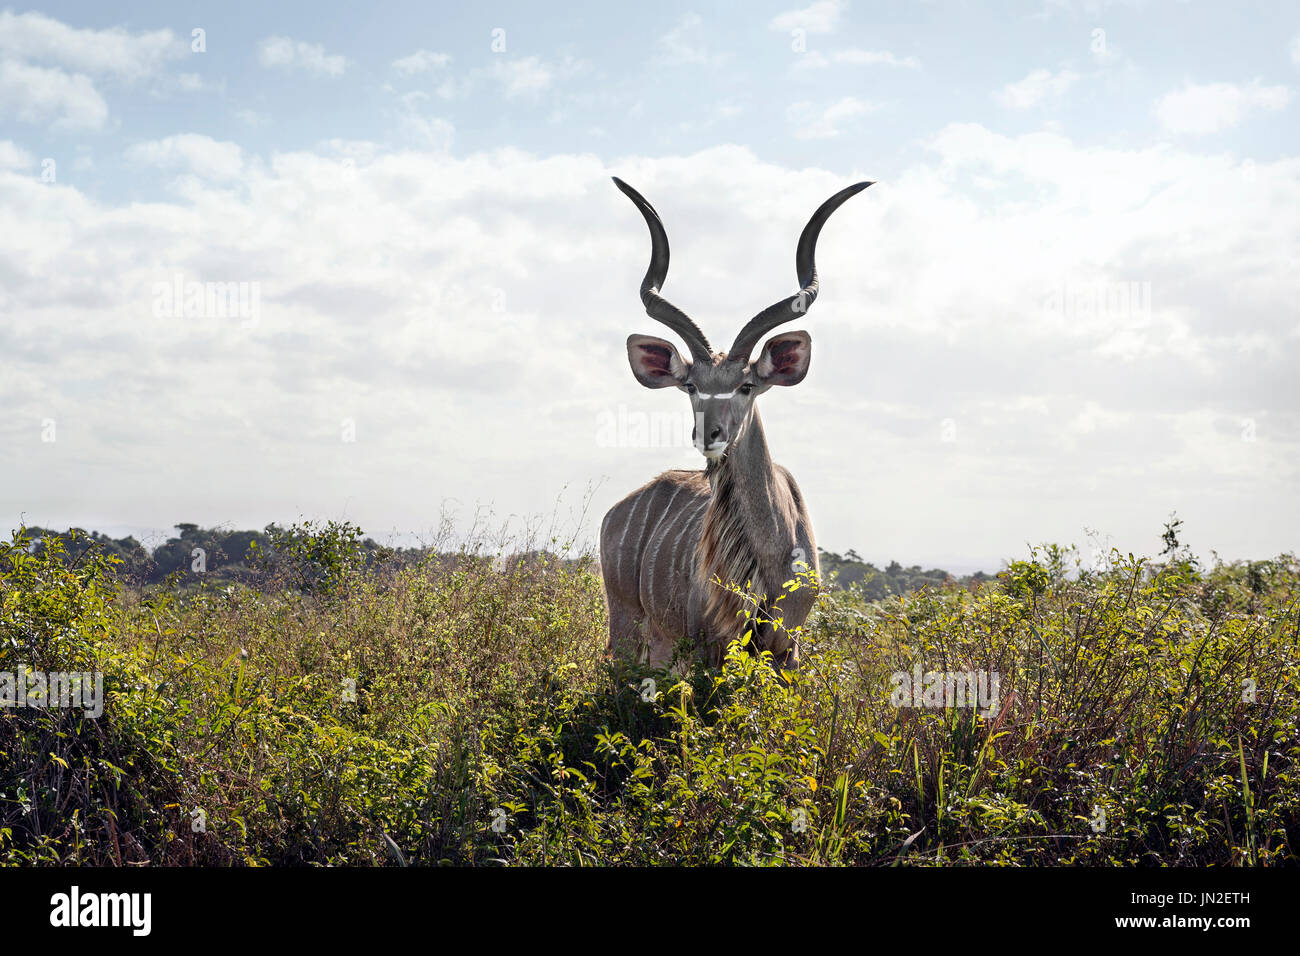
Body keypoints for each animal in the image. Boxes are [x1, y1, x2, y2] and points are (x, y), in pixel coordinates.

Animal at [600, 175, 873, 671]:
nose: (709, 435)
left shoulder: (787, 648)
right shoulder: (706, 644)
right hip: (628, 623)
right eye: (691, 385)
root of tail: (617, 511)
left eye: (746, 386)